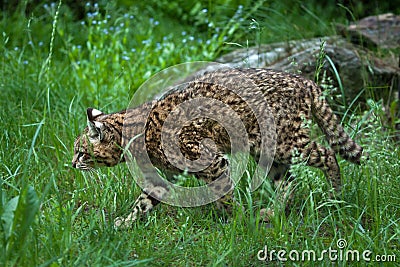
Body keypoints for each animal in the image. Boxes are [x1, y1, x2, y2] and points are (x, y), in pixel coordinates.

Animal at [72, 67, 366, 228]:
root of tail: (304, 81)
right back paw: (273, 212)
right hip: (270, 151)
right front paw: (124, 223)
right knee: (287, 180)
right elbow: (144, 201)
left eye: (80, 151)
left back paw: (336, 195)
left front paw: (236, 221)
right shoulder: (163, 175)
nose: (72, 164)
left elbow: (224, 195)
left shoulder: (212, 160)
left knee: (328, 154)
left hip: (287, 143)